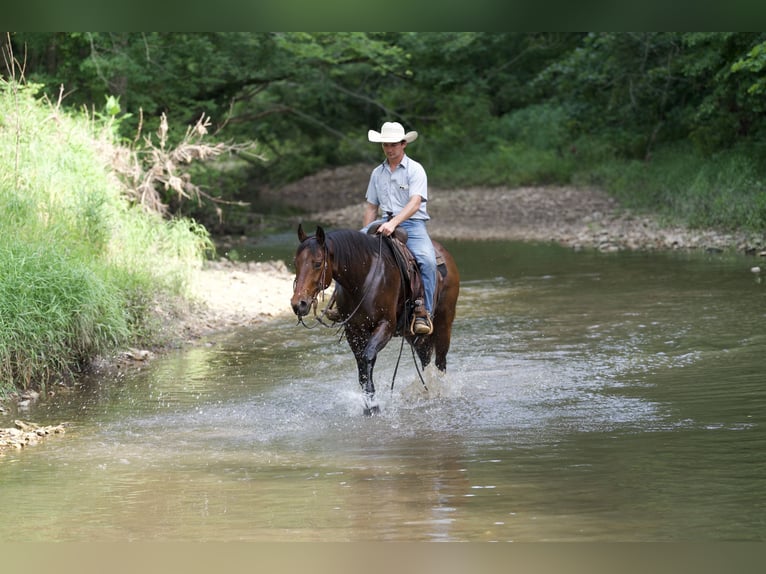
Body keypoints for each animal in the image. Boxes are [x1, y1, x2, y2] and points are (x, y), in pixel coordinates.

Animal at [291, 224, 460, 415]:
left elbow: (368, 356)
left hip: (444, 324)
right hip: (413, 334)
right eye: (295, 263)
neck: (363, 278)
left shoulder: (385, 325)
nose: (299, 304)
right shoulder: (353, 330)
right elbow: (361, 368)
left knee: (440, 361)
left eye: (318, 263)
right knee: (425, 359)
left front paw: (373, 406)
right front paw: (368, 406)